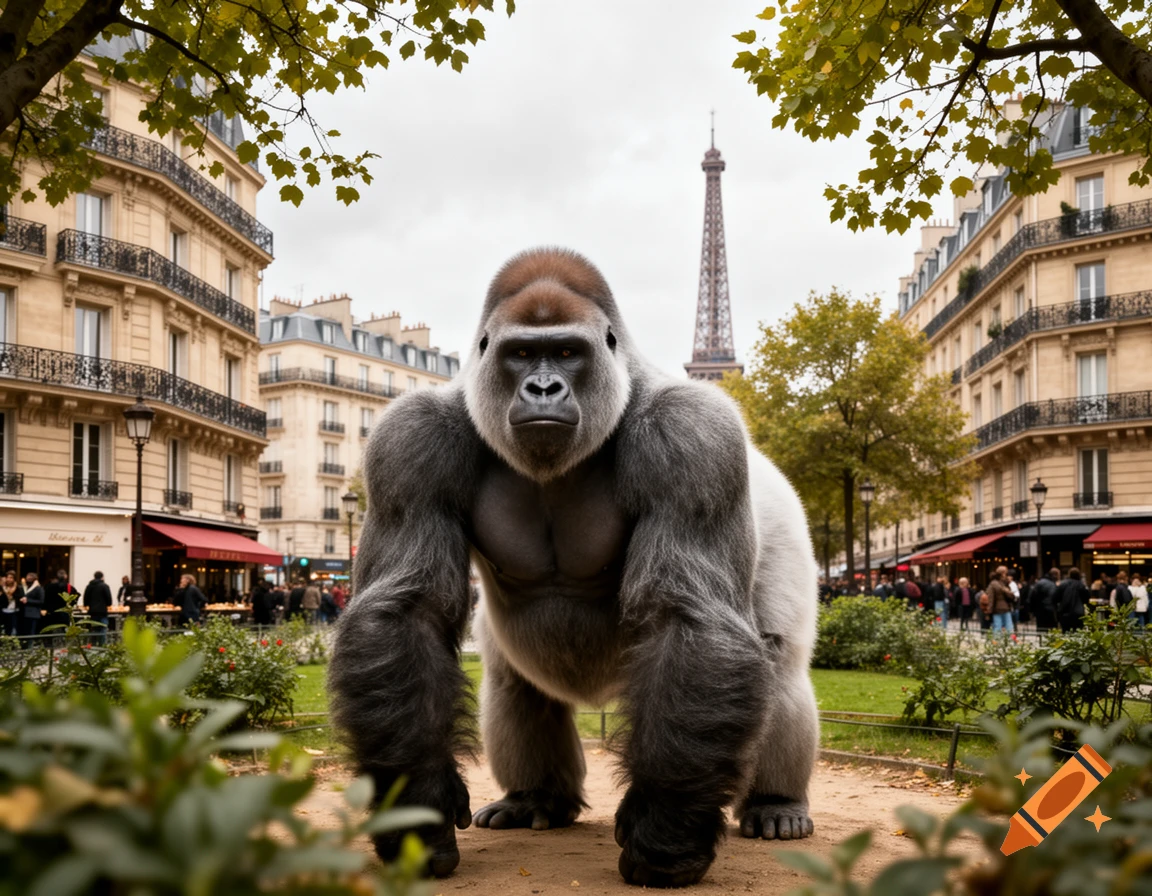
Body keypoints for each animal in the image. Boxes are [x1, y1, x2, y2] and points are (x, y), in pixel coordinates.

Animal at [328, 248, 819, 888]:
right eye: (520, 354)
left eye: (566, 353)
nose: (543, 386)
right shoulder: (407, 438)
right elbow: (407, 612)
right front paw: (417, 806)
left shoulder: (695, 433)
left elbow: (689, 618)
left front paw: (667, 825)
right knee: (513, 681)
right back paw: (536, 798)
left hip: (784, 525)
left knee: (779, 663)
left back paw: (775, 804)